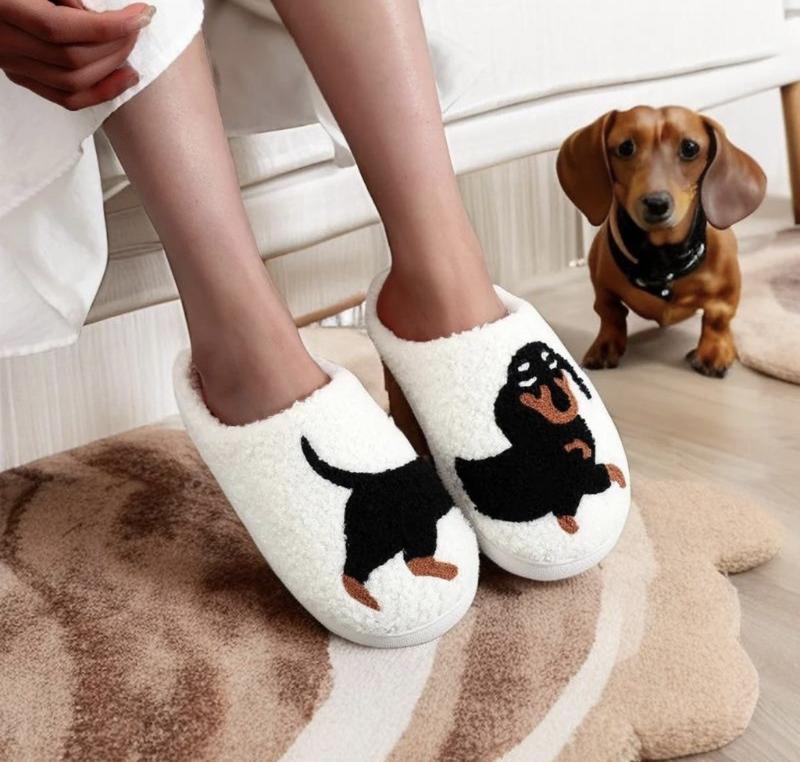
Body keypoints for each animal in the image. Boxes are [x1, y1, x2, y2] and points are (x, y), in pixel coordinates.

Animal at [557, 106, 766, 377]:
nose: (656, 203)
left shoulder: (724, 295)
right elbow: (610, 314)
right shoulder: (602, 287)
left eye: (690, 148)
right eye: (626, 147)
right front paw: (605, 346)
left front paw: (713, 352)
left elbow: (717, 319)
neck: (662, 257)